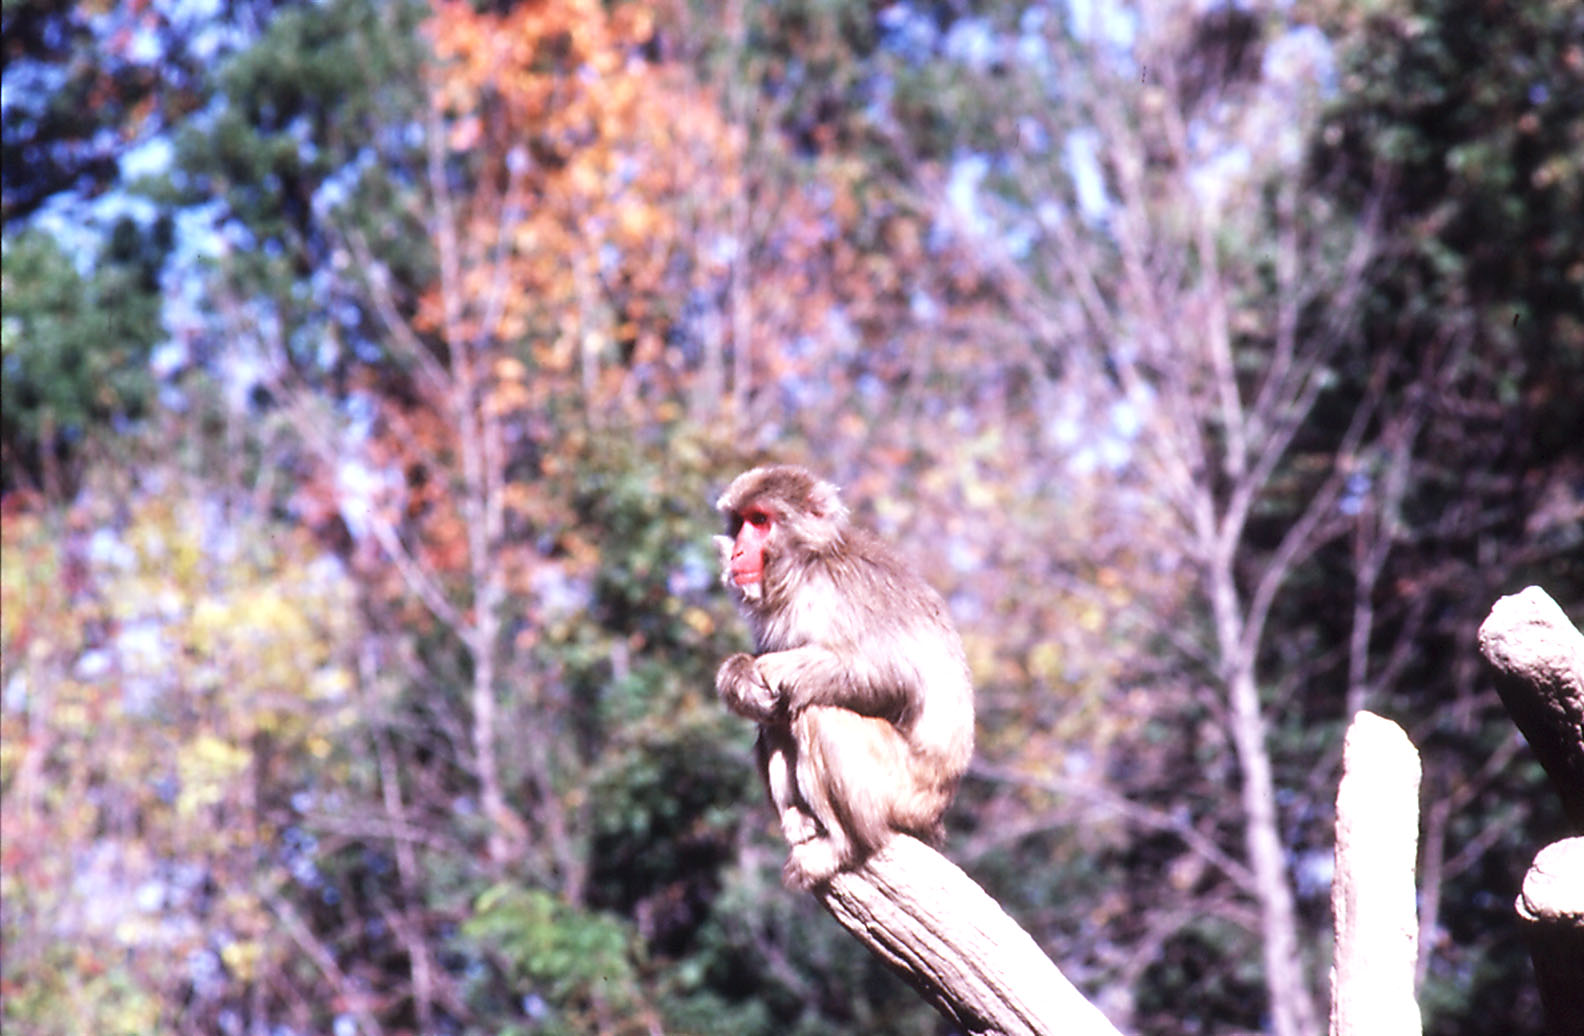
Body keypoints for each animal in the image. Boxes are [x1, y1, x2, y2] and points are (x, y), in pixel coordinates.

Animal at [713, 464, 975, 890]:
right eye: (739, 523)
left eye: (760, 521)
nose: (737, 551)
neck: (807, 563)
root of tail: (937, 815)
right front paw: (740, 679)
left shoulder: (836, 592)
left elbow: (892, 678)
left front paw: (776, 669)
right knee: (776, 718)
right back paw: (799, 821)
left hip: (906, 793)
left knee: (819, 712)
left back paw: (846, 847)